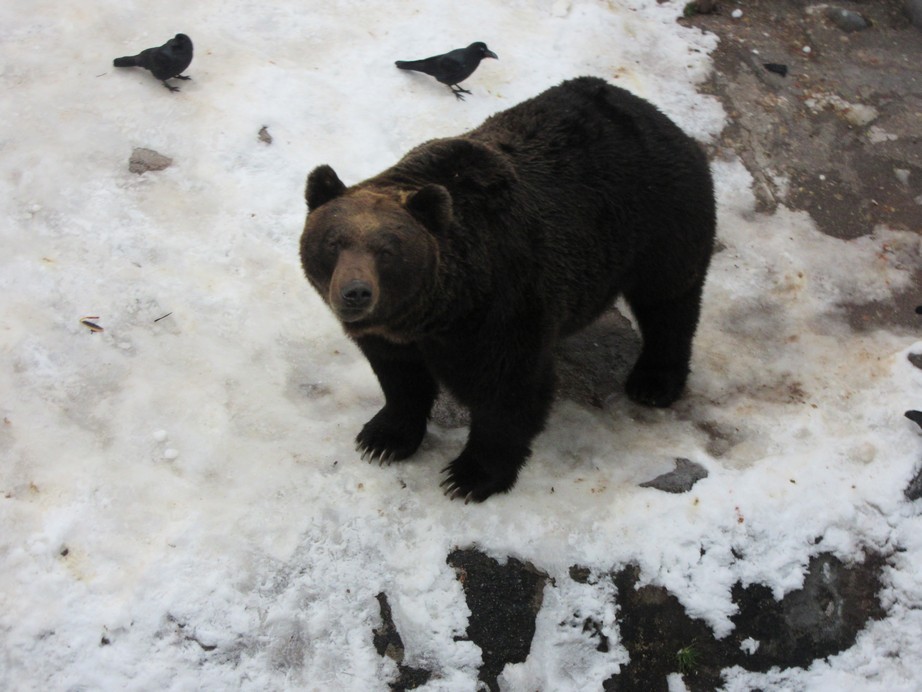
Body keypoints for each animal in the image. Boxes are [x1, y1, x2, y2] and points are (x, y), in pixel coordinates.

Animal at [299, 76, 715, 502]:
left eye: (387, 251)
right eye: (333, 242)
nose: (355, 292)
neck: (436, 312)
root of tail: (657, 117)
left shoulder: (502, 306)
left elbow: (509, 392)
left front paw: (470, 476)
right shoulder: (395, 335)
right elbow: (400, 377)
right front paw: (382, 437)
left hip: (660, 221)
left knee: (668, 302)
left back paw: (654, 382)